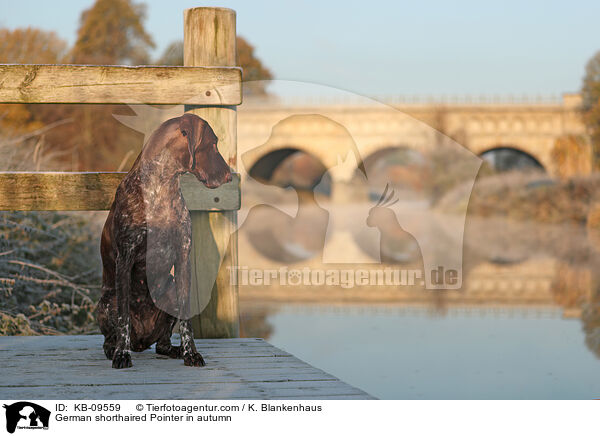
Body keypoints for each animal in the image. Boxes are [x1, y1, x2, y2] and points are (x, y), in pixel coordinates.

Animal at [95, 113, 232, 368]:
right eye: (213, 143)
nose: (229, 176)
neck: (161, 186)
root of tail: (141, 342)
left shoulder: (183, 258)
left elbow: (187, 321)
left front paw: (191, 353)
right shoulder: (125, 259)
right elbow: (124, 319)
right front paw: (121, 354)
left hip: (169, 292)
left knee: (163, 343)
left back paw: (174, 350)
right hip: (108, 301)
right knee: (113, 334)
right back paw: (115, 349)